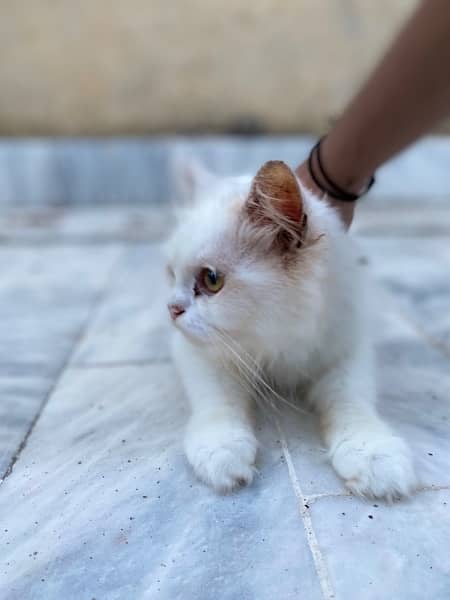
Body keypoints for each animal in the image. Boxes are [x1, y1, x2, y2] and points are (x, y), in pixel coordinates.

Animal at [164, 157, 414, 500]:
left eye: (211, 280)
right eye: (170, 273)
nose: (172, 309)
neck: (279, 345)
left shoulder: (347, 352)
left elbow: (352, 404)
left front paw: (374, 456)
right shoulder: (197, 353)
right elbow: (218, 402)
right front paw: (222, 452)